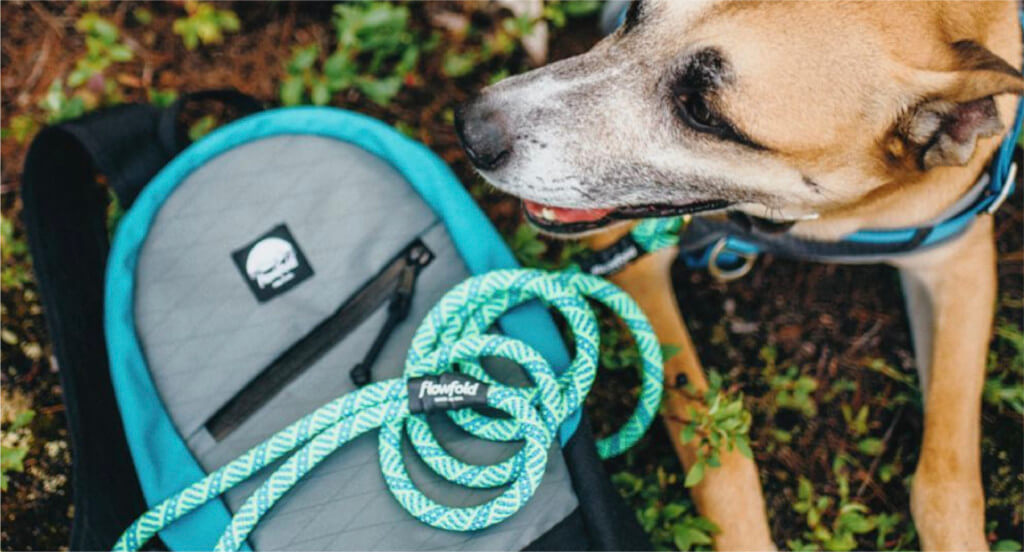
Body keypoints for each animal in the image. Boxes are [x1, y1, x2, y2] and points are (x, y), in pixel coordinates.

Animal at [458, 2, 1024, 548]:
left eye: (702, 111)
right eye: (634, 12)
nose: (471, 130)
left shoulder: (959, 261)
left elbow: (946, 478)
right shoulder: (632, 252)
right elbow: (717, 451)